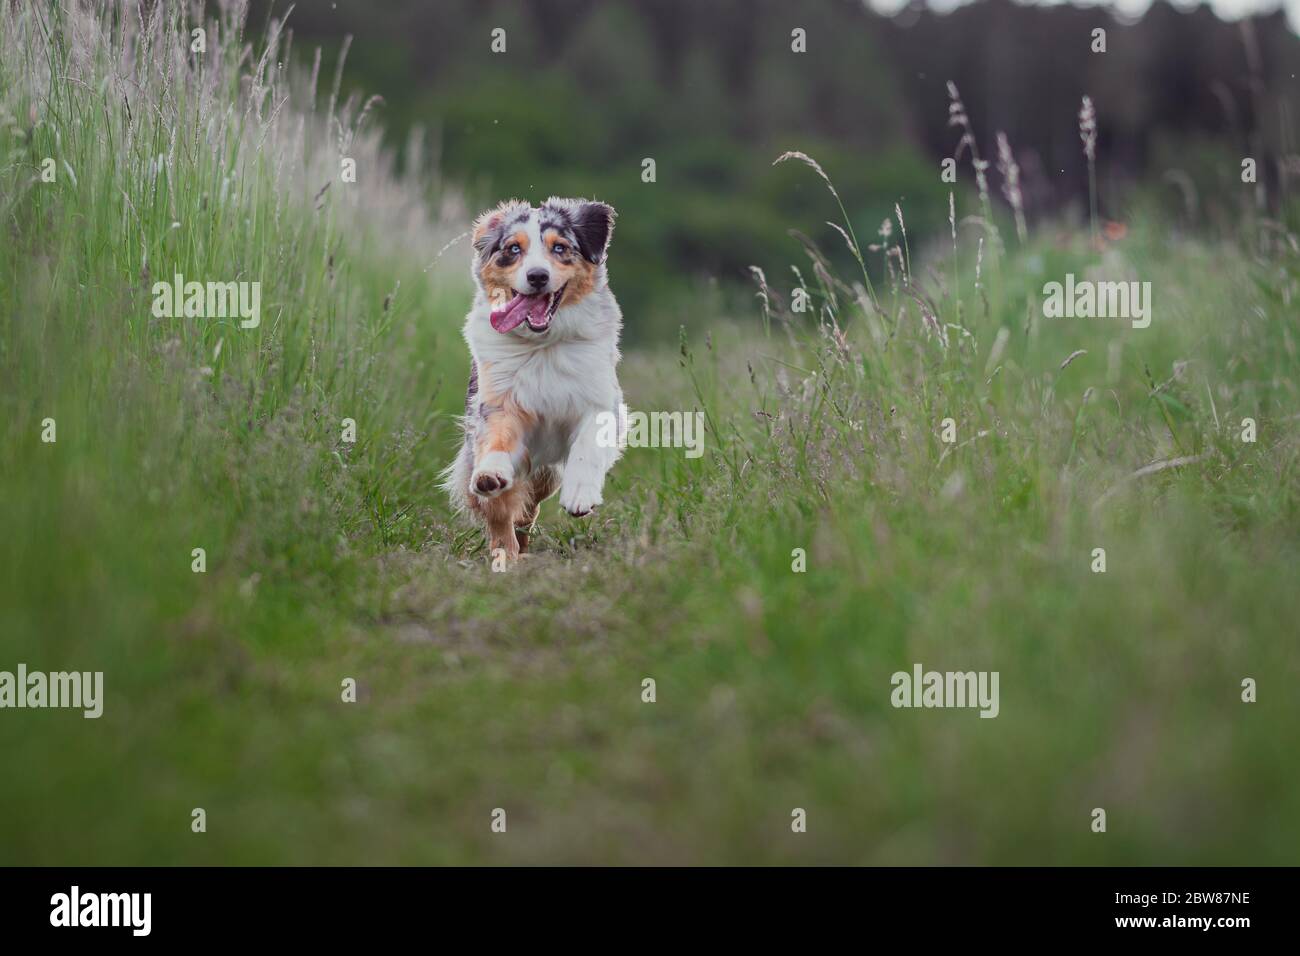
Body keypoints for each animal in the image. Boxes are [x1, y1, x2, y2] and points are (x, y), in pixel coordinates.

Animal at [447, 197, 624, 564]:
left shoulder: (603, 402)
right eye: (513, 249)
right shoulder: (496, 403)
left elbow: (588, 445)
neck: (543, 344)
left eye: (559, 248)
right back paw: (506, 556)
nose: (538, 276)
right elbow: (497, 441)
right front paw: (491, 472)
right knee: (503, 515)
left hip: (546, 474)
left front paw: (580, 496)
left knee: (528, 510)